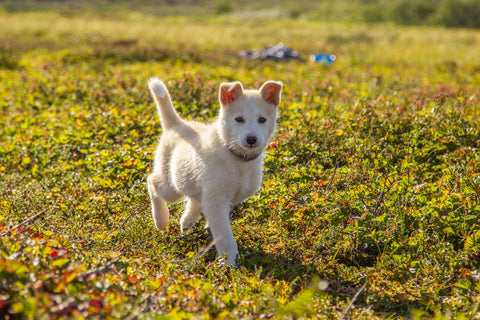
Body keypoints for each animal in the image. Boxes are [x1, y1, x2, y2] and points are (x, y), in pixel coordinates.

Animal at [146, 77, 282, 264]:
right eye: (239, 119)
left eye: (262, 119)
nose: (251, 139)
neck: (237, 158)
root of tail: (176, 125)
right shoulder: (216, 200)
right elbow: (225, 235)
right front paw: (230, 261)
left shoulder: (225, 198)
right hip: (171, 187)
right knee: (152, 181)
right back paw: (161, 220)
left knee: (194, 200)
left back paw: (186, 223)